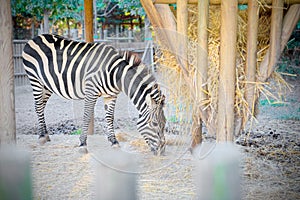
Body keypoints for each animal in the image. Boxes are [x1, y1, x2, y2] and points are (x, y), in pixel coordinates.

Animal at [22, 34, 166, 155]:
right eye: (154, 124)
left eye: (164, 123)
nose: (162, 151)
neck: (115, 74)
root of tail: (35, 37)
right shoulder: (91, 91)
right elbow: (86, 116)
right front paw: (82, 144)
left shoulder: (111, 95)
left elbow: (110, 117)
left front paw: (114, 142)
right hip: (36, 80)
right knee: (38, 107)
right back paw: (41, 137)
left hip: (47, 85)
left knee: (42, 107)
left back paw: (46, 135)